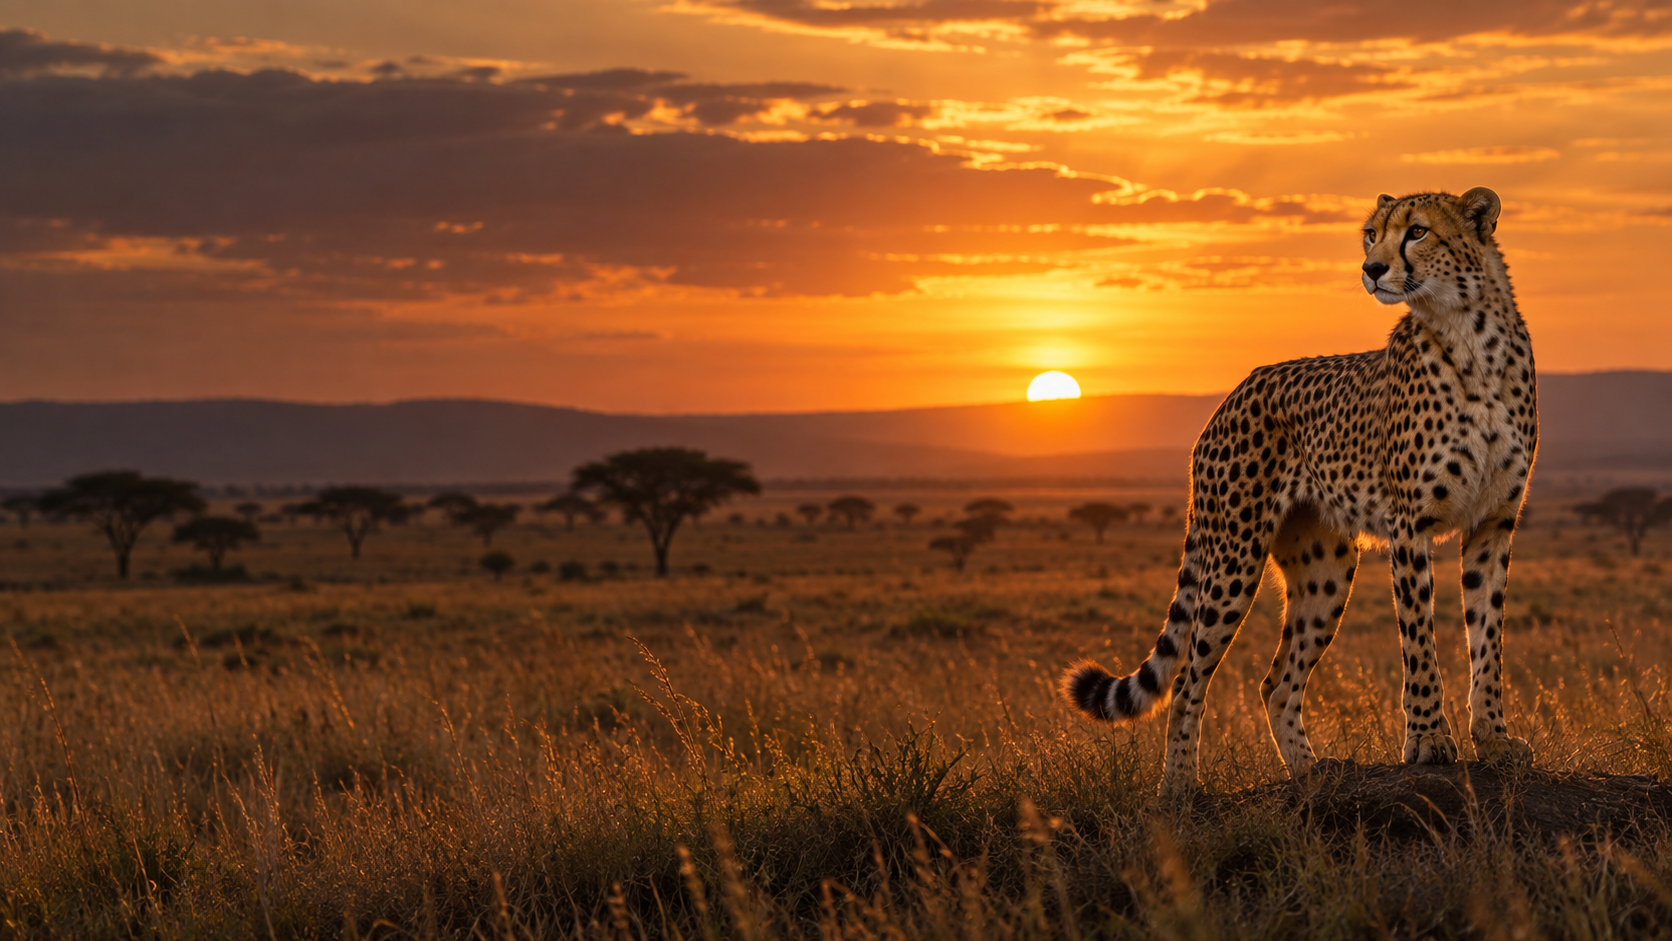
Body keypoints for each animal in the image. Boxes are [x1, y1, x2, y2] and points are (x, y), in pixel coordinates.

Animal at [1062, 187, 1536, 795]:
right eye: (1371, 234)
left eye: (1417, 231)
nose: (1372, 268)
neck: (1470, 334)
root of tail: (1236, 391)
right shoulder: (1411, 526)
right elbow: (1419, 642)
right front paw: (1429, 740)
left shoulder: (1492, 523)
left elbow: (1487, 639)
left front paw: (1495, 739)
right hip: (1234, 557)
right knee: (1190, 679)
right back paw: (1180, 787)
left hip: (1325, 569)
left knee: (1277, 681)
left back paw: (1311, 773)